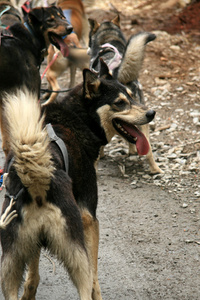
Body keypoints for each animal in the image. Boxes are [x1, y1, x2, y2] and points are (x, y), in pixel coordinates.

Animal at [0, 4, 72, 157]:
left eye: (62, 17)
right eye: (50, 20)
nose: (70, 28)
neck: (30, 36)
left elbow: (7, 142)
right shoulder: (31, 95)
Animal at [0, 60, 156, 298]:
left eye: (131, 96)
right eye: (119, 103)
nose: (151, 112)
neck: (78, 117)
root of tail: (37, 184)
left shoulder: (34, 244)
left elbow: (32, 277)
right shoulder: (89, 219)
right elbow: (95, 280)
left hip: (9, 265)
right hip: (77, 255)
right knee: (85, 285)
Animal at [87, 16, 162, 175]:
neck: (109, 39)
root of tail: (118, 74)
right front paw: (132, 149)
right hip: (143, 118)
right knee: (147, 148)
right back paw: (155, 169)